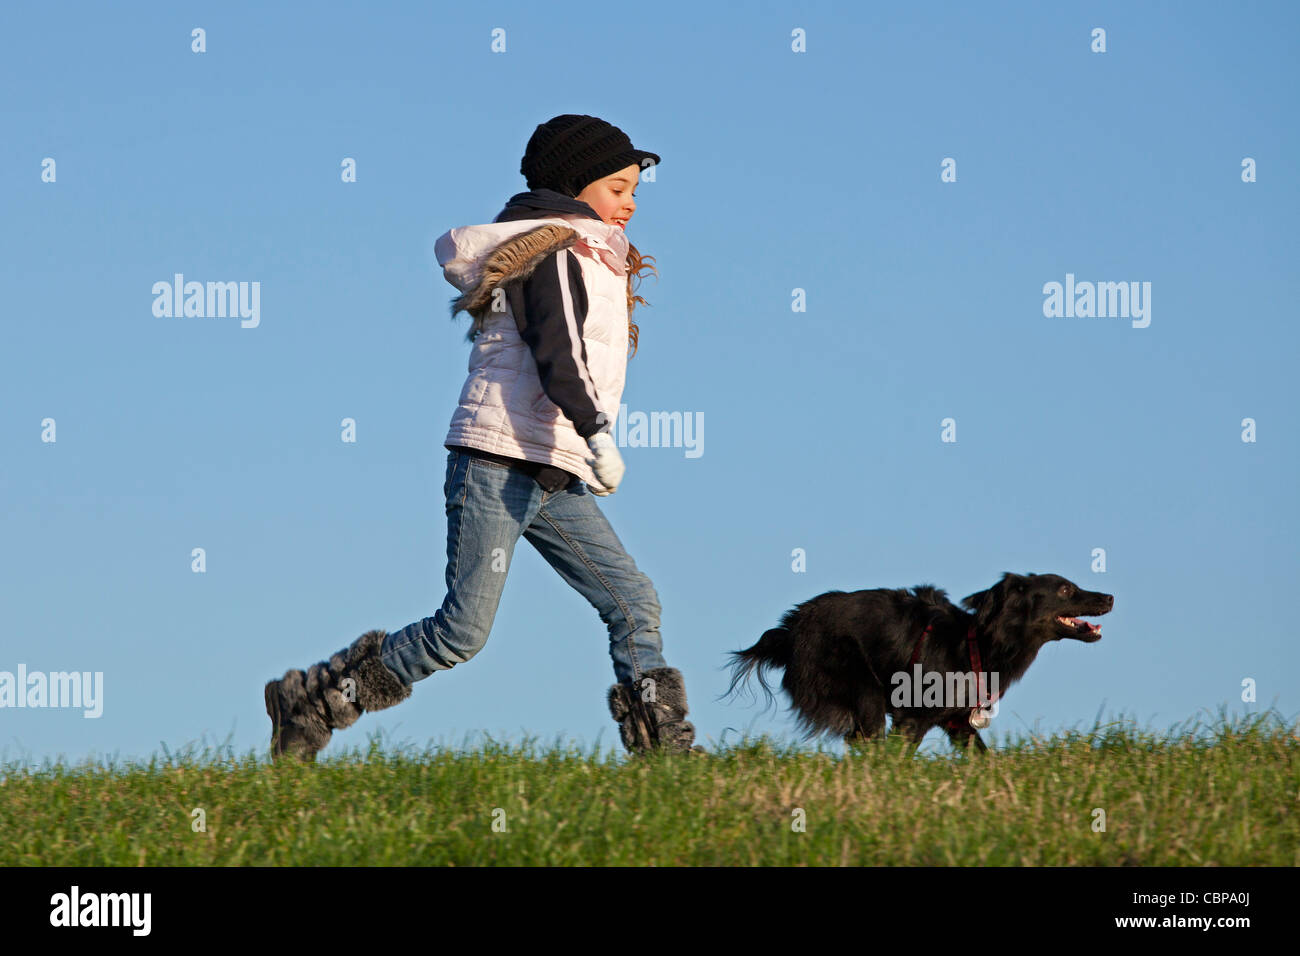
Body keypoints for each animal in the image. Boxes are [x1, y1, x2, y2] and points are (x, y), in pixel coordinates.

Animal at [728, 572, 1112, 749]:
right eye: (1065, 590)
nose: (1109, 596)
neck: (980, 641)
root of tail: (789, 628)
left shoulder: (958, 722)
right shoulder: (913, 718)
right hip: (861, 688)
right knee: (869, 742)